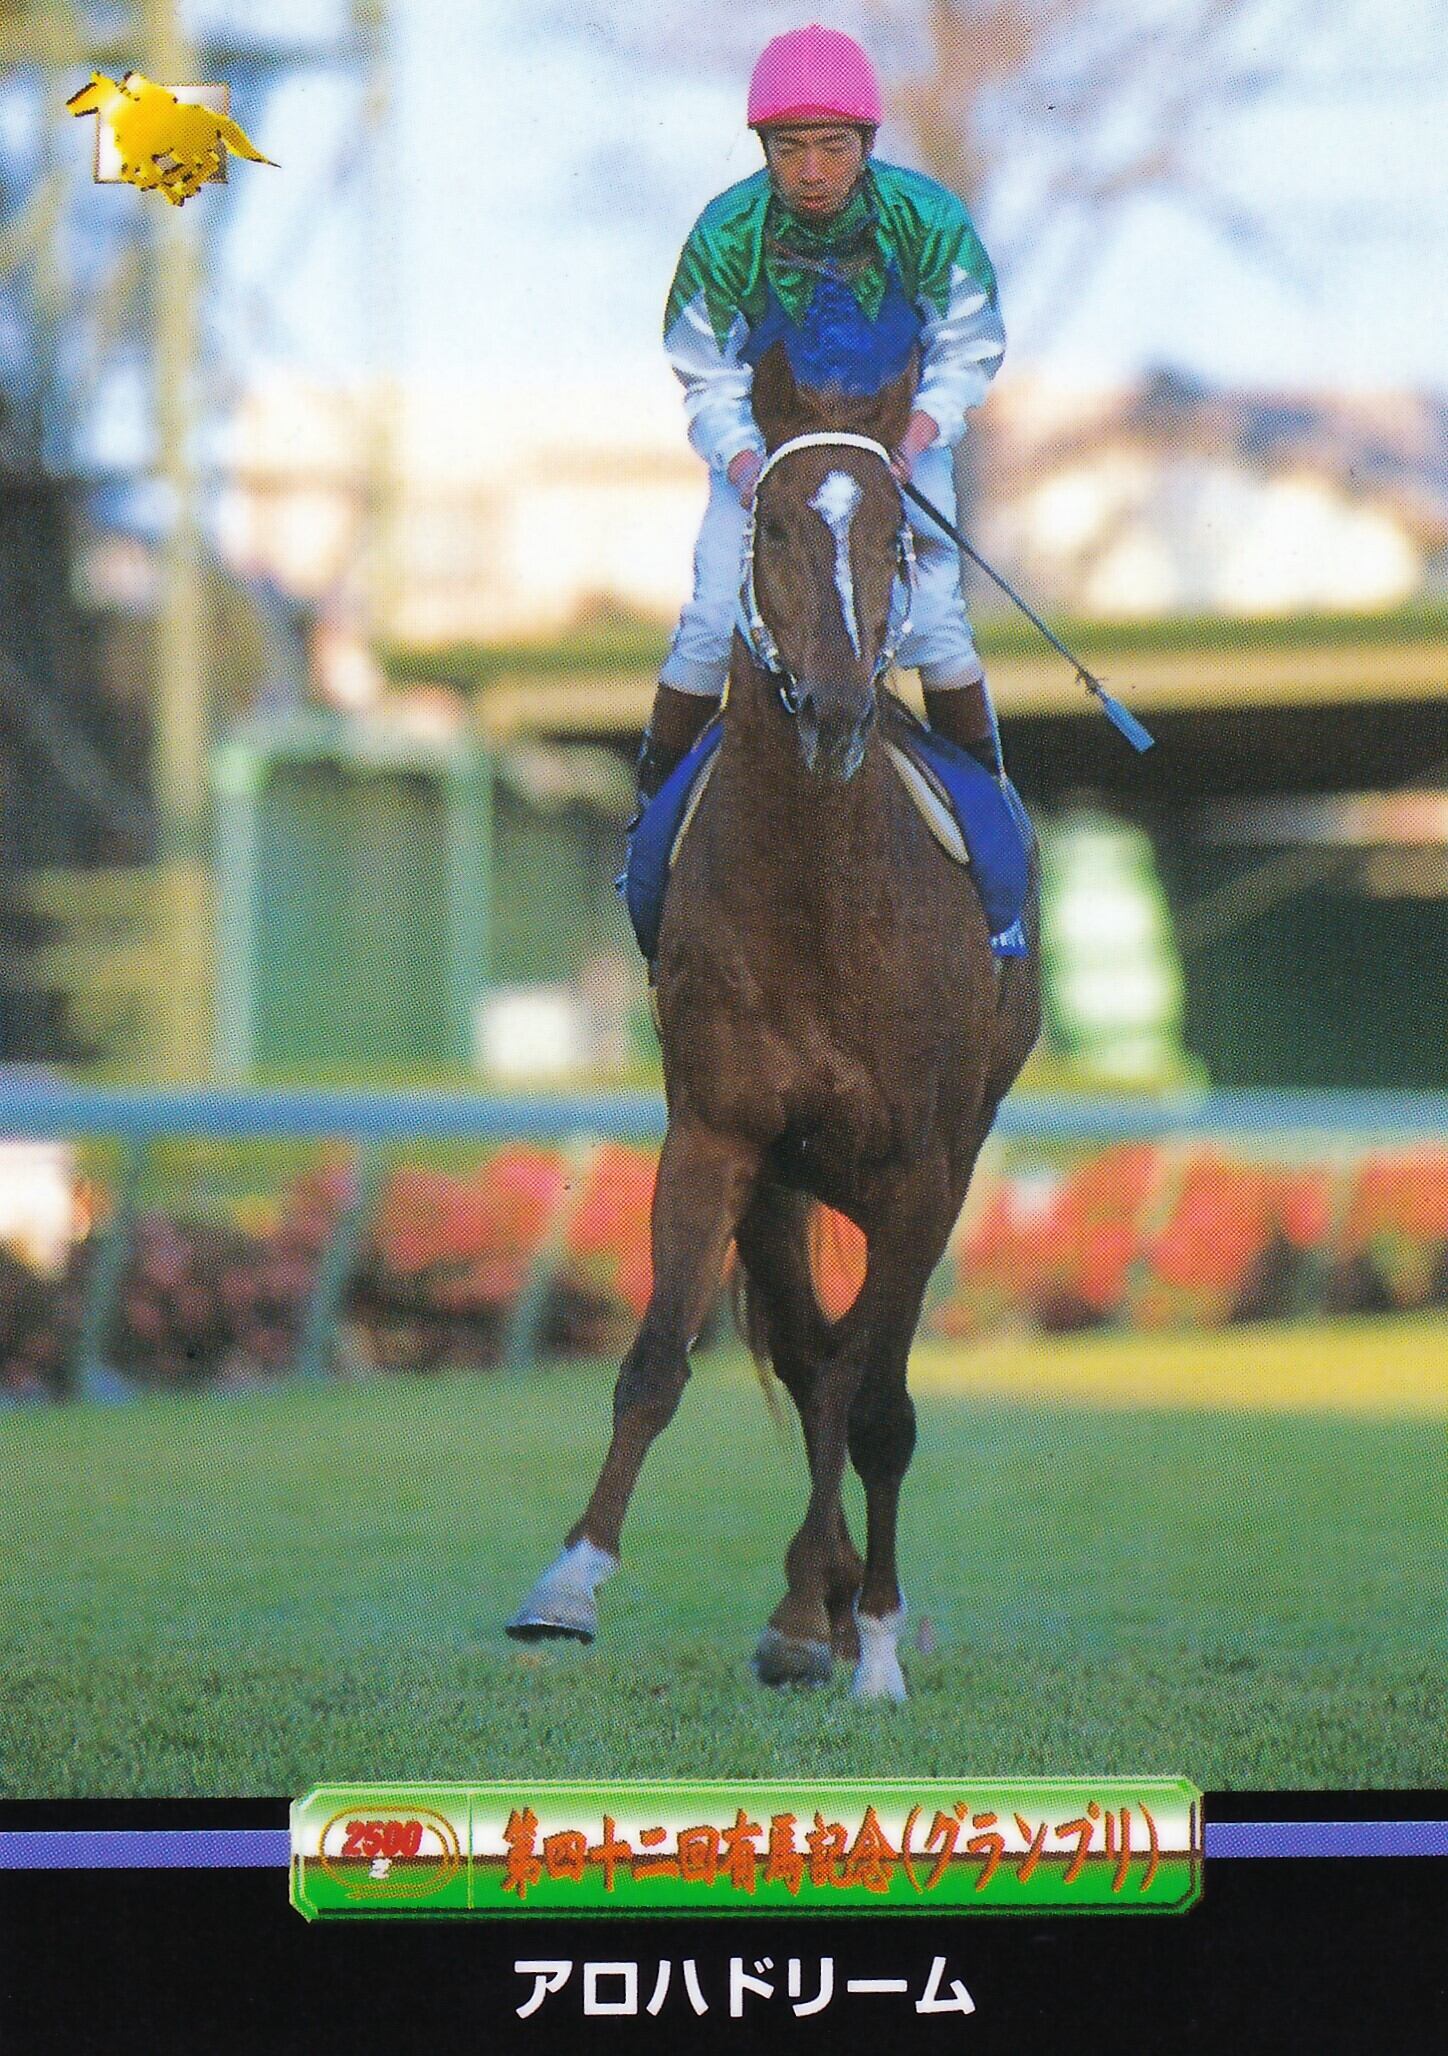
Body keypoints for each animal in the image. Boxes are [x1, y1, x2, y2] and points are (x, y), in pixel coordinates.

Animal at [507, 342, 1040, 1699]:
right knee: (809, 1353)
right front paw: (569, 1582)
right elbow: (659, 1360)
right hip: (787, 1181)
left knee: (853, 1366)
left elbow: (881, 1399)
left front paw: (880, 1646)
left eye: (898, 530)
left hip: (948, 1153)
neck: (817, 900)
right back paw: (811, 1602)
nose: (839, 707)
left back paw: (836, 1607)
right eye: (775, 524)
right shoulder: (719, 1133)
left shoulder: (919, 1166)